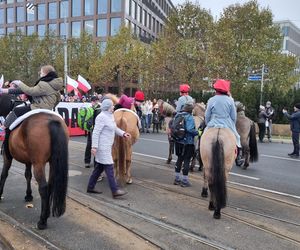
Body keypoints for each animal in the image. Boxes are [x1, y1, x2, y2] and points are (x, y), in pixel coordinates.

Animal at [0, 93, 68, 229]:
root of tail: (52, 121)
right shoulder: (28, 160)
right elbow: (27, 175)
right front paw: (28, 195)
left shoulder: (7, 157)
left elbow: (4, 174)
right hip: (52, 163)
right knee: (50, 185)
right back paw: (46, 213)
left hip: (39, 164)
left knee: (43, 187)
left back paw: (42, 221)